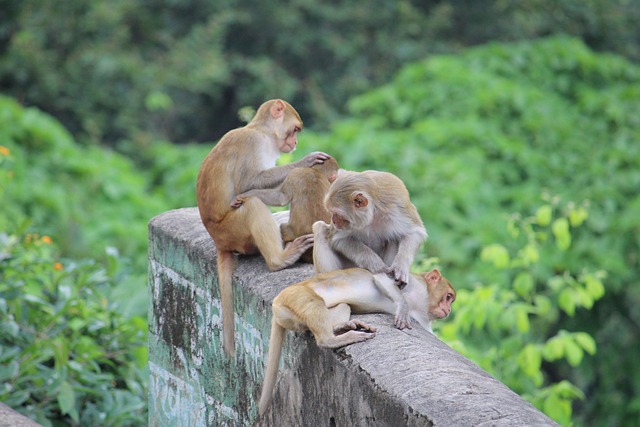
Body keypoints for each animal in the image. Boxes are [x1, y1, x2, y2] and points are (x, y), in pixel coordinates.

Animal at [196, 98, 330, 356]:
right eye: (295, 130)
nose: (295, 143)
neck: (262, 132)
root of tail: (218, 241)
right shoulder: (253, 144)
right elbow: (247, 185)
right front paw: (305, 161)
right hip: (232, 231)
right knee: (252, 206)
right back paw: (280, 259)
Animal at [258, 270, 458, 416]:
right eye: (448, 297)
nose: (448, 310)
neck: (421, 301)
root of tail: (276, 308)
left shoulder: (424, 321)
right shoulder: (413, 285)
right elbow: (382, 278)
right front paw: (402, 307)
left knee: (343, 306)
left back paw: (343, 327)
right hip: (296, 295)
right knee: (314, 306)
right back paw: (333, 338)